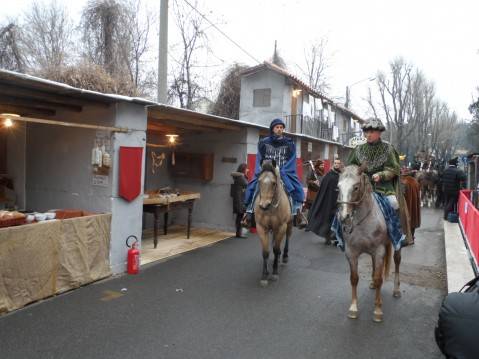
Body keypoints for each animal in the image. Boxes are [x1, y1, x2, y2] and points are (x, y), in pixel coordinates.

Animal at [338, 166, 402, 324]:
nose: (344, 217)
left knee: (397, 261)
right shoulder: (351, 252)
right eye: (338, 187)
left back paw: (396, 290)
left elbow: (380, 279)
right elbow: (354, 279)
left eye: (355, 187)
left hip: (398, 243)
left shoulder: (378, 251)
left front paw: (377, 311)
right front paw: (353, 308)